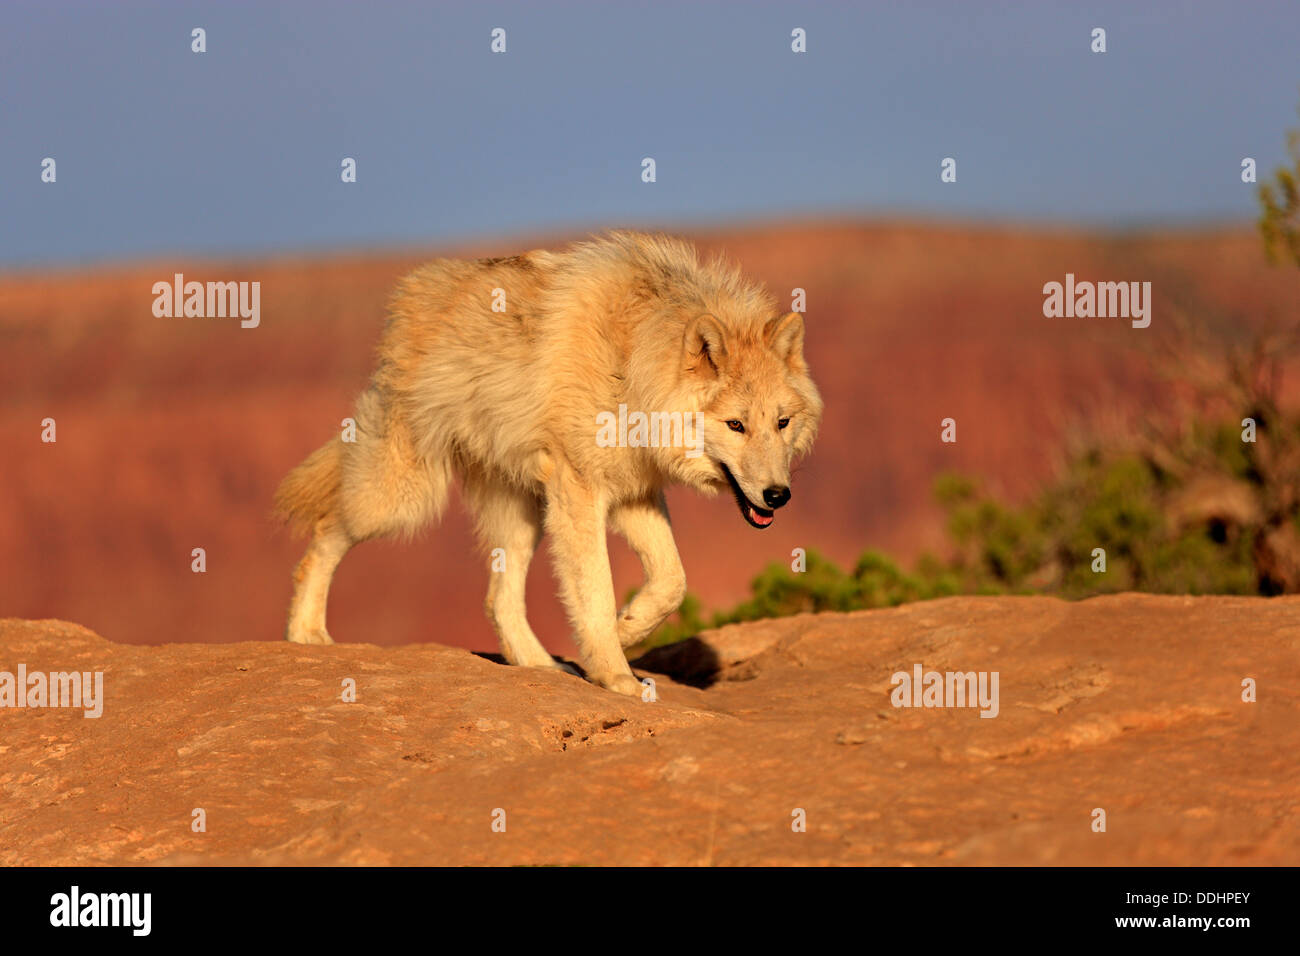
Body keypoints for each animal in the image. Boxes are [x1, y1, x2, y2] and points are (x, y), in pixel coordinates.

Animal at [273, 231, 821, 697]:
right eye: (736, 425)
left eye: (782, 423)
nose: (778, 496)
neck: (632, 358)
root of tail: (415, 290)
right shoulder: (582, 489)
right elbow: (596, 589)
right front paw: (616, 677)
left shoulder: (634, 491)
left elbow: (671, 583)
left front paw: (625, 631)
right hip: (404, 500)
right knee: (322, 537)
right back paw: (306, 633)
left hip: (522, 514)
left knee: (498, 599)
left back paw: (541, 667)